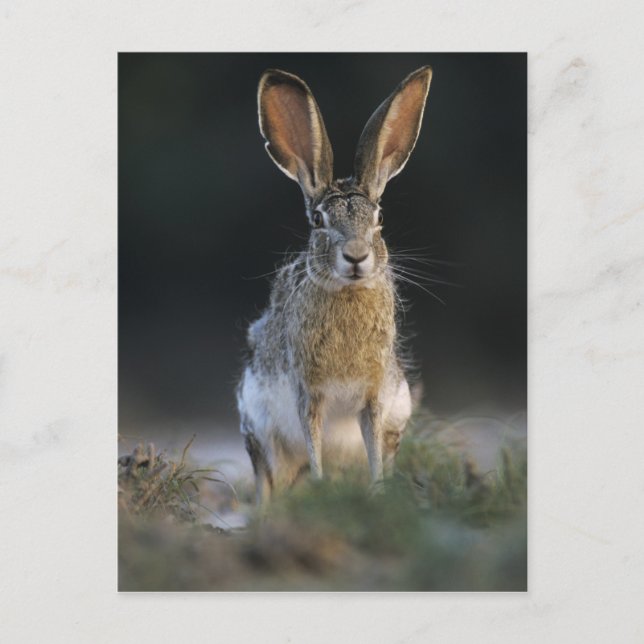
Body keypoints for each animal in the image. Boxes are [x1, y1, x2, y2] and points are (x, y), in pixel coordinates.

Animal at [237, 66, 433, 504]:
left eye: (379, 218)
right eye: (317, 221)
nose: (357, 256)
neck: (348, 292)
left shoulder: (376, 397)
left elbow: (372, 444)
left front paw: (377, 494)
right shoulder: (308, 393)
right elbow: (313, 443)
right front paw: (321, 487)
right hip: (257, 427)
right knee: (267, 478)